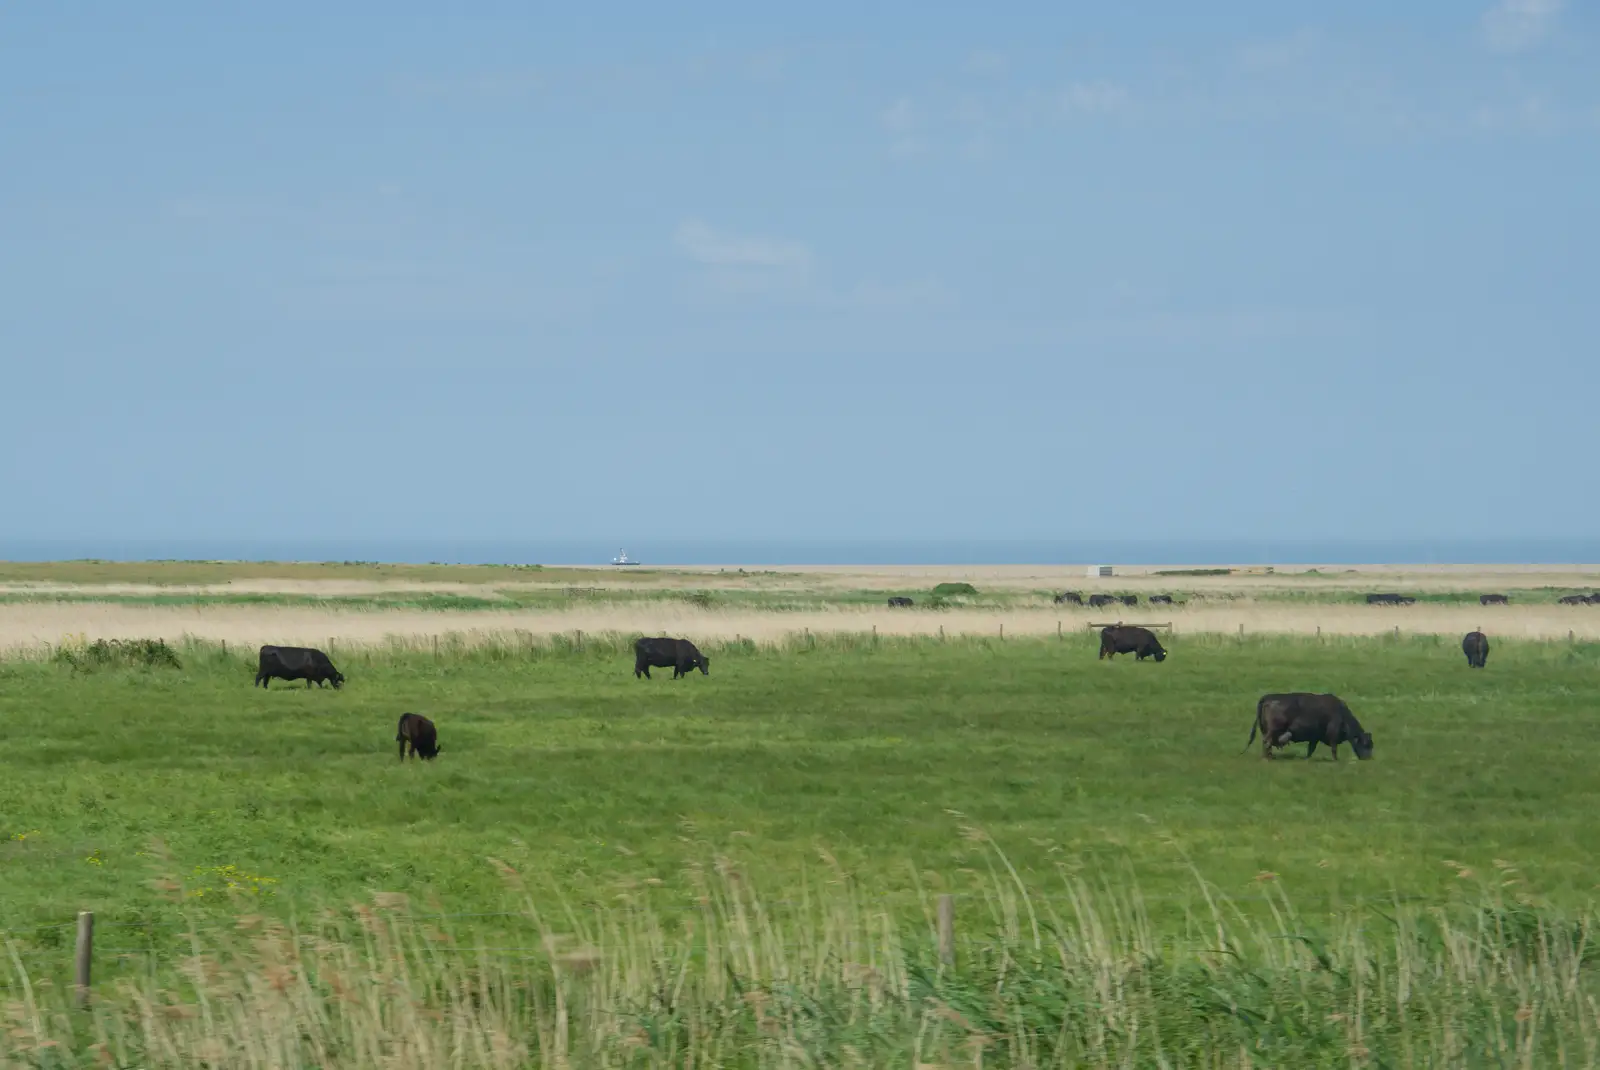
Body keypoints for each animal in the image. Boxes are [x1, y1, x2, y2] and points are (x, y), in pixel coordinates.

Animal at [1244, 693, 1373, 761]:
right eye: (1366, 744)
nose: (1368, 758)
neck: (1342, 714)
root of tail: (1268, 697)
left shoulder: (1314, 738)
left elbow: (1310, 749)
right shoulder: (1333, 735)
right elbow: (1334, 748)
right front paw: (1336, 760)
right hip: (1273, 730)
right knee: (1266, 742)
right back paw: (1268, 758)